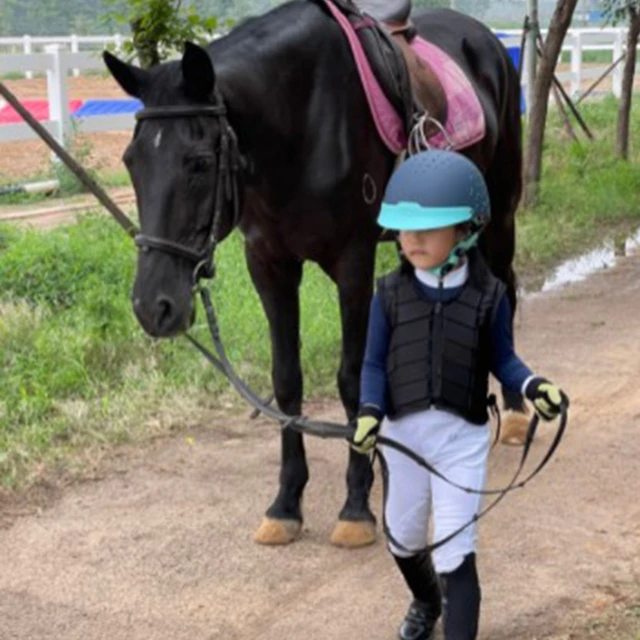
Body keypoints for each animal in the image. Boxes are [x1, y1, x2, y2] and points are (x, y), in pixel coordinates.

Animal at [105, 0, 524, 552]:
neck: (298, 122)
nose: (153, 305)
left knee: (507, 293)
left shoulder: (353, 260)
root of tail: (488, 41)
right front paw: (286, 504)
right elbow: (287, 380)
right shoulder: (269, 264)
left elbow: (351, 379)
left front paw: (356, 505)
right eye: (131, 162)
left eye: (197, 162)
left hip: (499, 215)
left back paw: (515, 414)